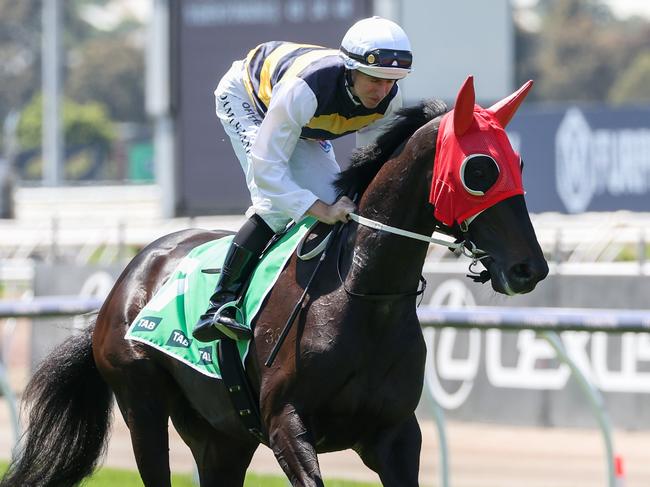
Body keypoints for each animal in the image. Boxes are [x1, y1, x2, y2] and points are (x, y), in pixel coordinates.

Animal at [1, 77, 548, 487]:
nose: (531, 268)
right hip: (143, 405)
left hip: (221, 436)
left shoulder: (394, 436)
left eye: (519, 163)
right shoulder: (286, 422)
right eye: (480, 169)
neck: (361, 296)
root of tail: (127, 279)